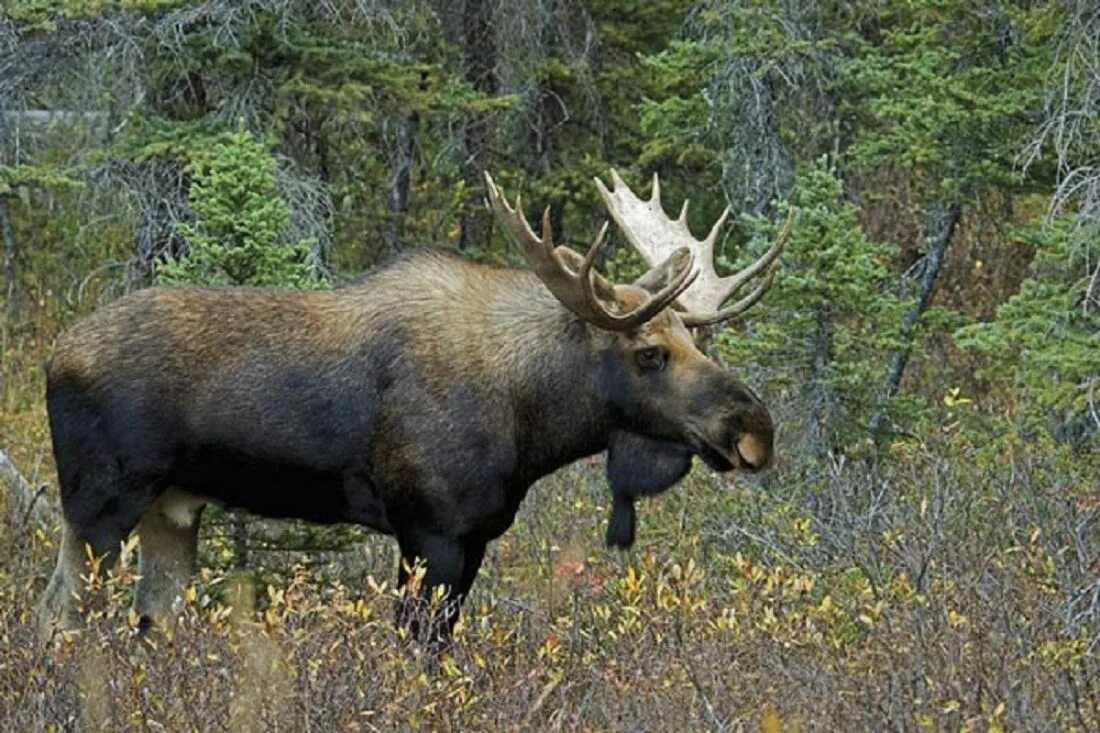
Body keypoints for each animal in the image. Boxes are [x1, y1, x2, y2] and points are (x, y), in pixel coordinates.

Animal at [36, 169, 792, 638]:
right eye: (649, 353)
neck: (532, 421)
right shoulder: (430, 529)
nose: (755, 428)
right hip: (101, 502)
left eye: (696, 337)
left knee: (150, 618)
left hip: (173, 507)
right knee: (59, 615)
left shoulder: (475, 535)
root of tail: (52, 354)